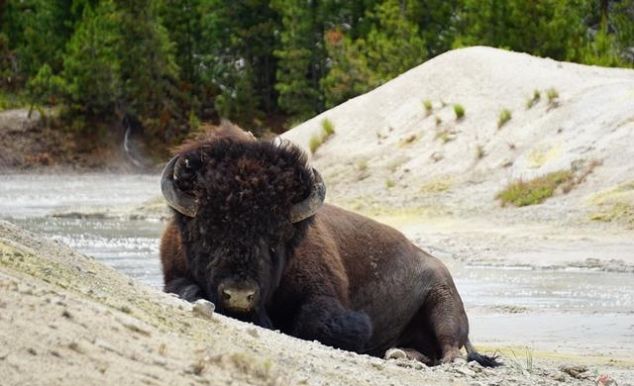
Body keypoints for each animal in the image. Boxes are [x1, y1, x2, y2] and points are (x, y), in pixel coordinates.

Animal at [158, 125, 498, 366]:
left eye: (276, 237)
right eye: (205, 231)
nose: (239, 294)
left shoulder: (324, 295)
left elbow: (317, 321)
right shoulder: (175, 274)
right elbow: (188, 290)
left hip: (442, 301)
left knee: (452, 347)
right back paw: (400, 354)